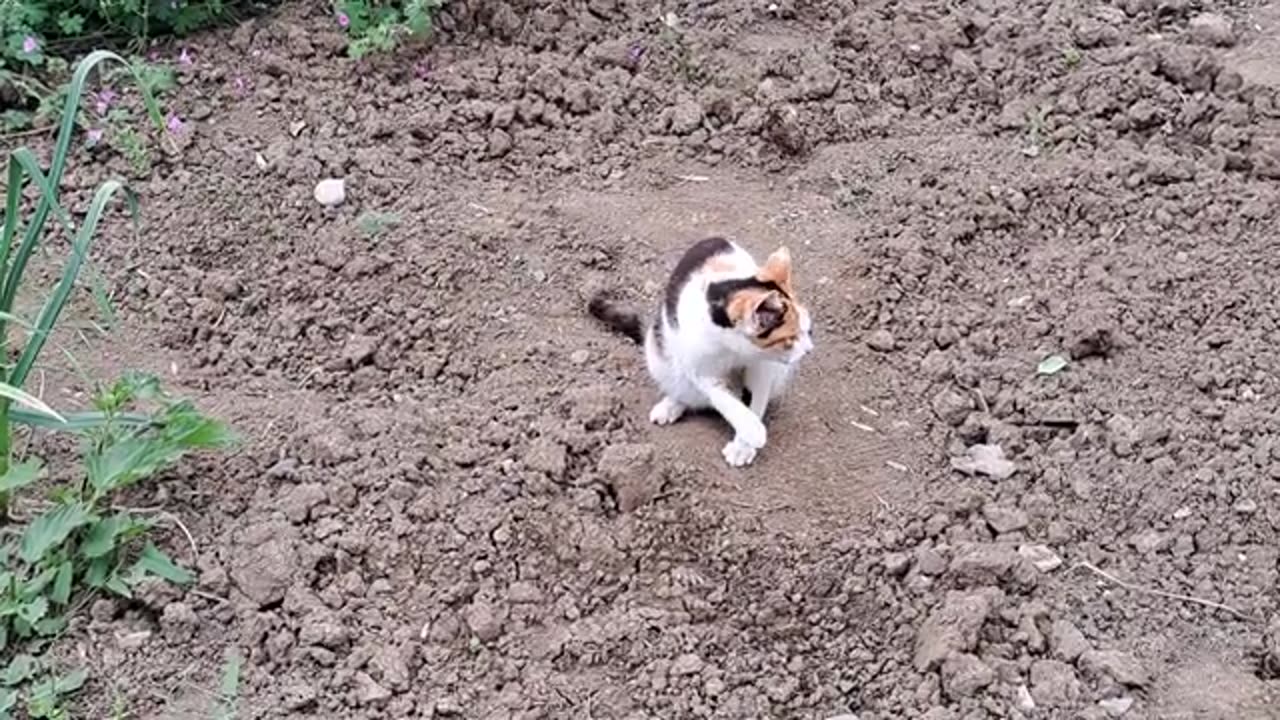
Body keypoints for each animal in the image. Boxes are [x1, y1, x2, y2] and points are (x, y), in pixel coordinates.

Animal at [586, 235, 808, 466]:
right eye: (790, 339)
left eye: (807, 329)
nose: (808, 348)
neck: (735, 350)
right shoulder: (698, 367)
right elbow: (722, 398)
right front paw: (752, 429)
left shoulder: (763, 367)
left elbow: (756, 398)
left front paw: (743, 445)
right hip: (658, 353)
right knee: (685, 389)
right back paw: (671, 405)